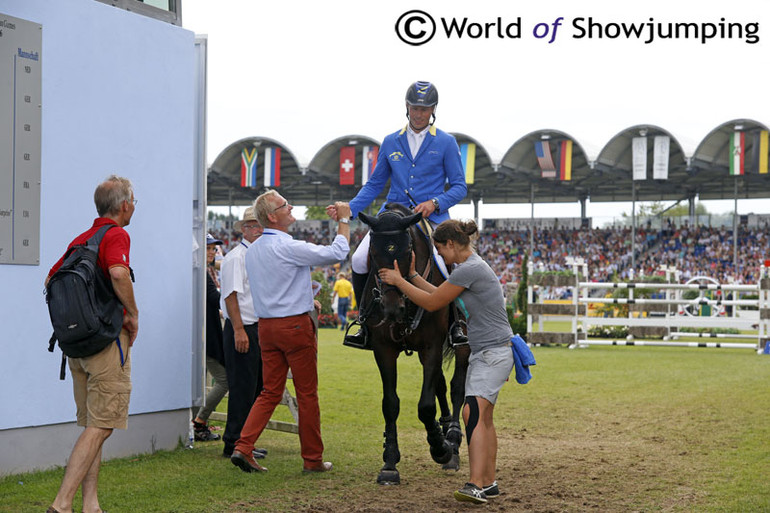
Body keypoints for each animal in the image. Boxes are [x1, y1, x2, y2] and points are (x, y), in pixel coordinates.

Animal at [356, 202, 472, 482]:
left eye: (407, 250)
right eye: (373, 252)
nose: (391, 309)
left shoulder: (431, 346)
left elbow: (426, 406)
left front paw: (440, 449)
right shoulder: (383, 349)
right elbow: (390, 404)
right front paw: (389, 461)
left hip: (462, 345)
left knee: (457, 386)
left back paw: (452, 440)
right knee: (441, 384)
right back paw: (445, 430)